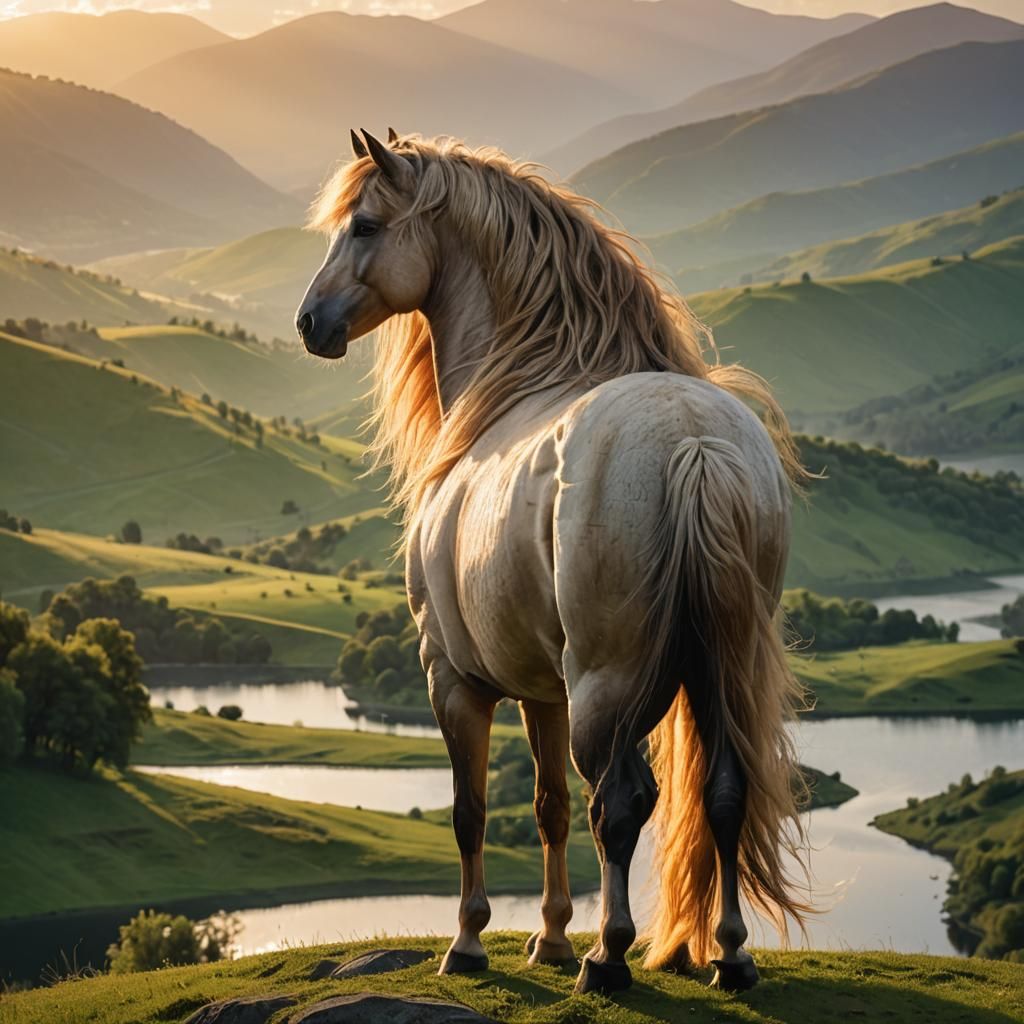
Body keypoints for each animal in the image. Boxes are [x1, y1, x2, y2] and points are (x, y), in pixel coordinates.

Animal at [296, 129, 810, 995]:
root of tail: (696, 446)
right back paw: (729, 955)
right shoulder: (544, 691)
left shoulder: (454, 679)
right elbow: (548, 806)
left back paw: (610, 956)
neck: (518, 384)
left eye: (364, 225)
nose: (310, 321)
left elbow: (473, 810)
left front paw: (471, 942)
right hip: (719, 669)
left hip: (608, 686)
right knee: (723, 791)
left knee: (624, 802)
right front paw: (551, 936)